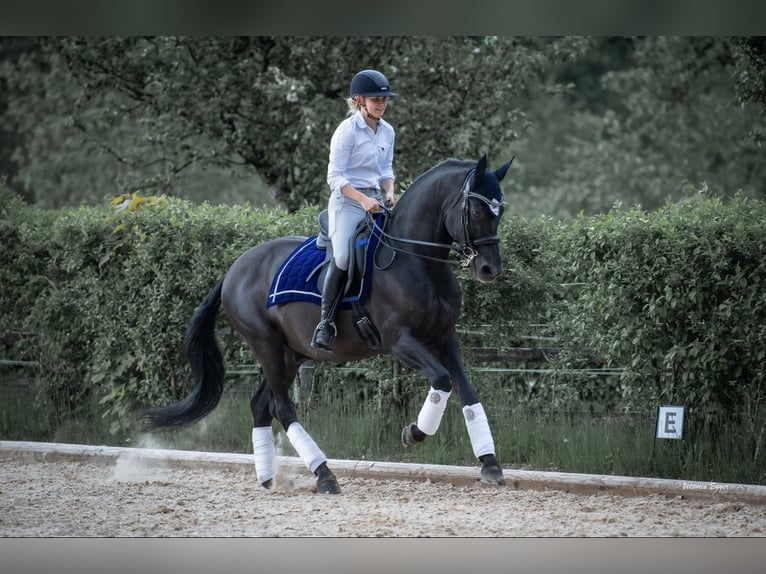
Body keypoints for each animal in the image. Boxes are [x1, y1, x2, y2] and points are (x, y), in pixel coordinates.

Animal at [144, 153, 516, 496]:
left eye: (500, 212)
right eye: (477, 211)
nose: (489, 269)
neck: (415, 261)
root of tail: (234, 269)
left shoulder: (445, 337)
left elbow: (466, 392)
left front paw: (490, 464)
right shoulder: (400, 340)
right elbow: (441, 380)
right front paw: (414, 433)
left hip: (291, 353)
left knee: (262, 405)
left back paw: (269, 478)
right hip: (265, 344)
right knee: (282, 407)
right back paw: (324, 475)